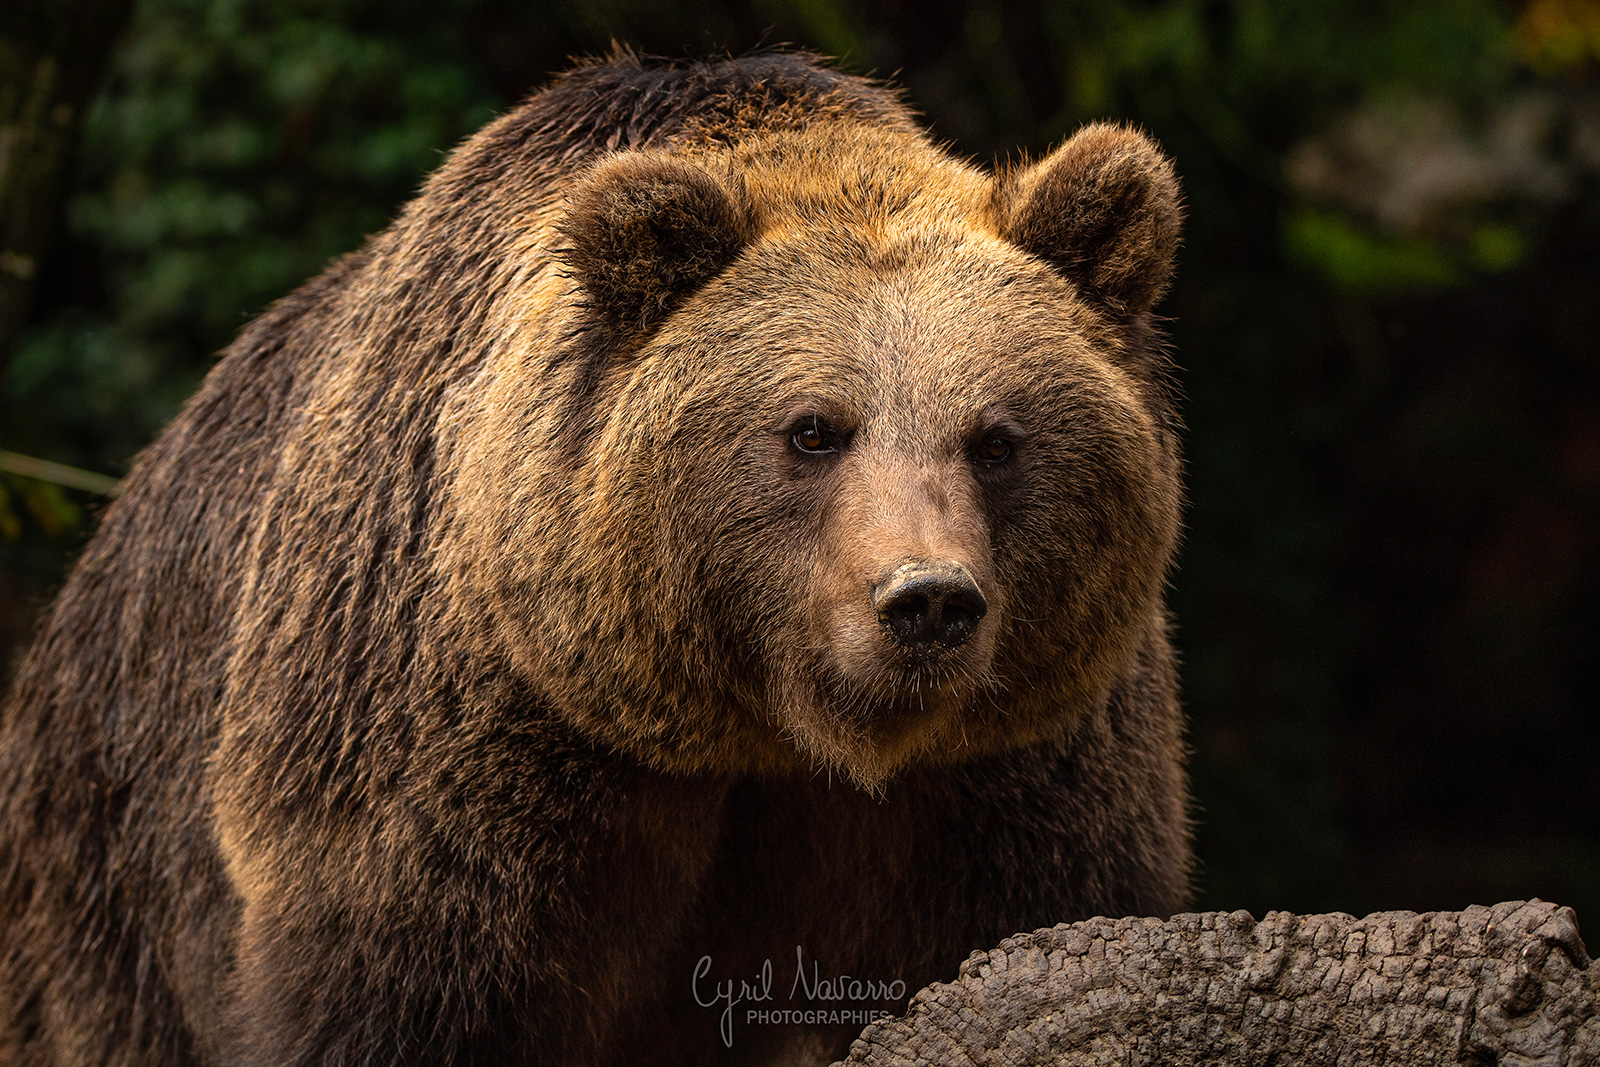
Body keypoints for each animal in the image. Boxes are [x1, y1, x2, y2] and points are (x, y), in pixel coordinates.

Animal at [0, 49, 1190, 1067]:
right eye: (813, 428)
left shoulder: (1013, 760)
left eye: (995, 438)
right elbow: (400, 981)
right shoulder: (461, 742)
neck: (754, 730)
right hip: (107, 868)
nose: (927, 599)